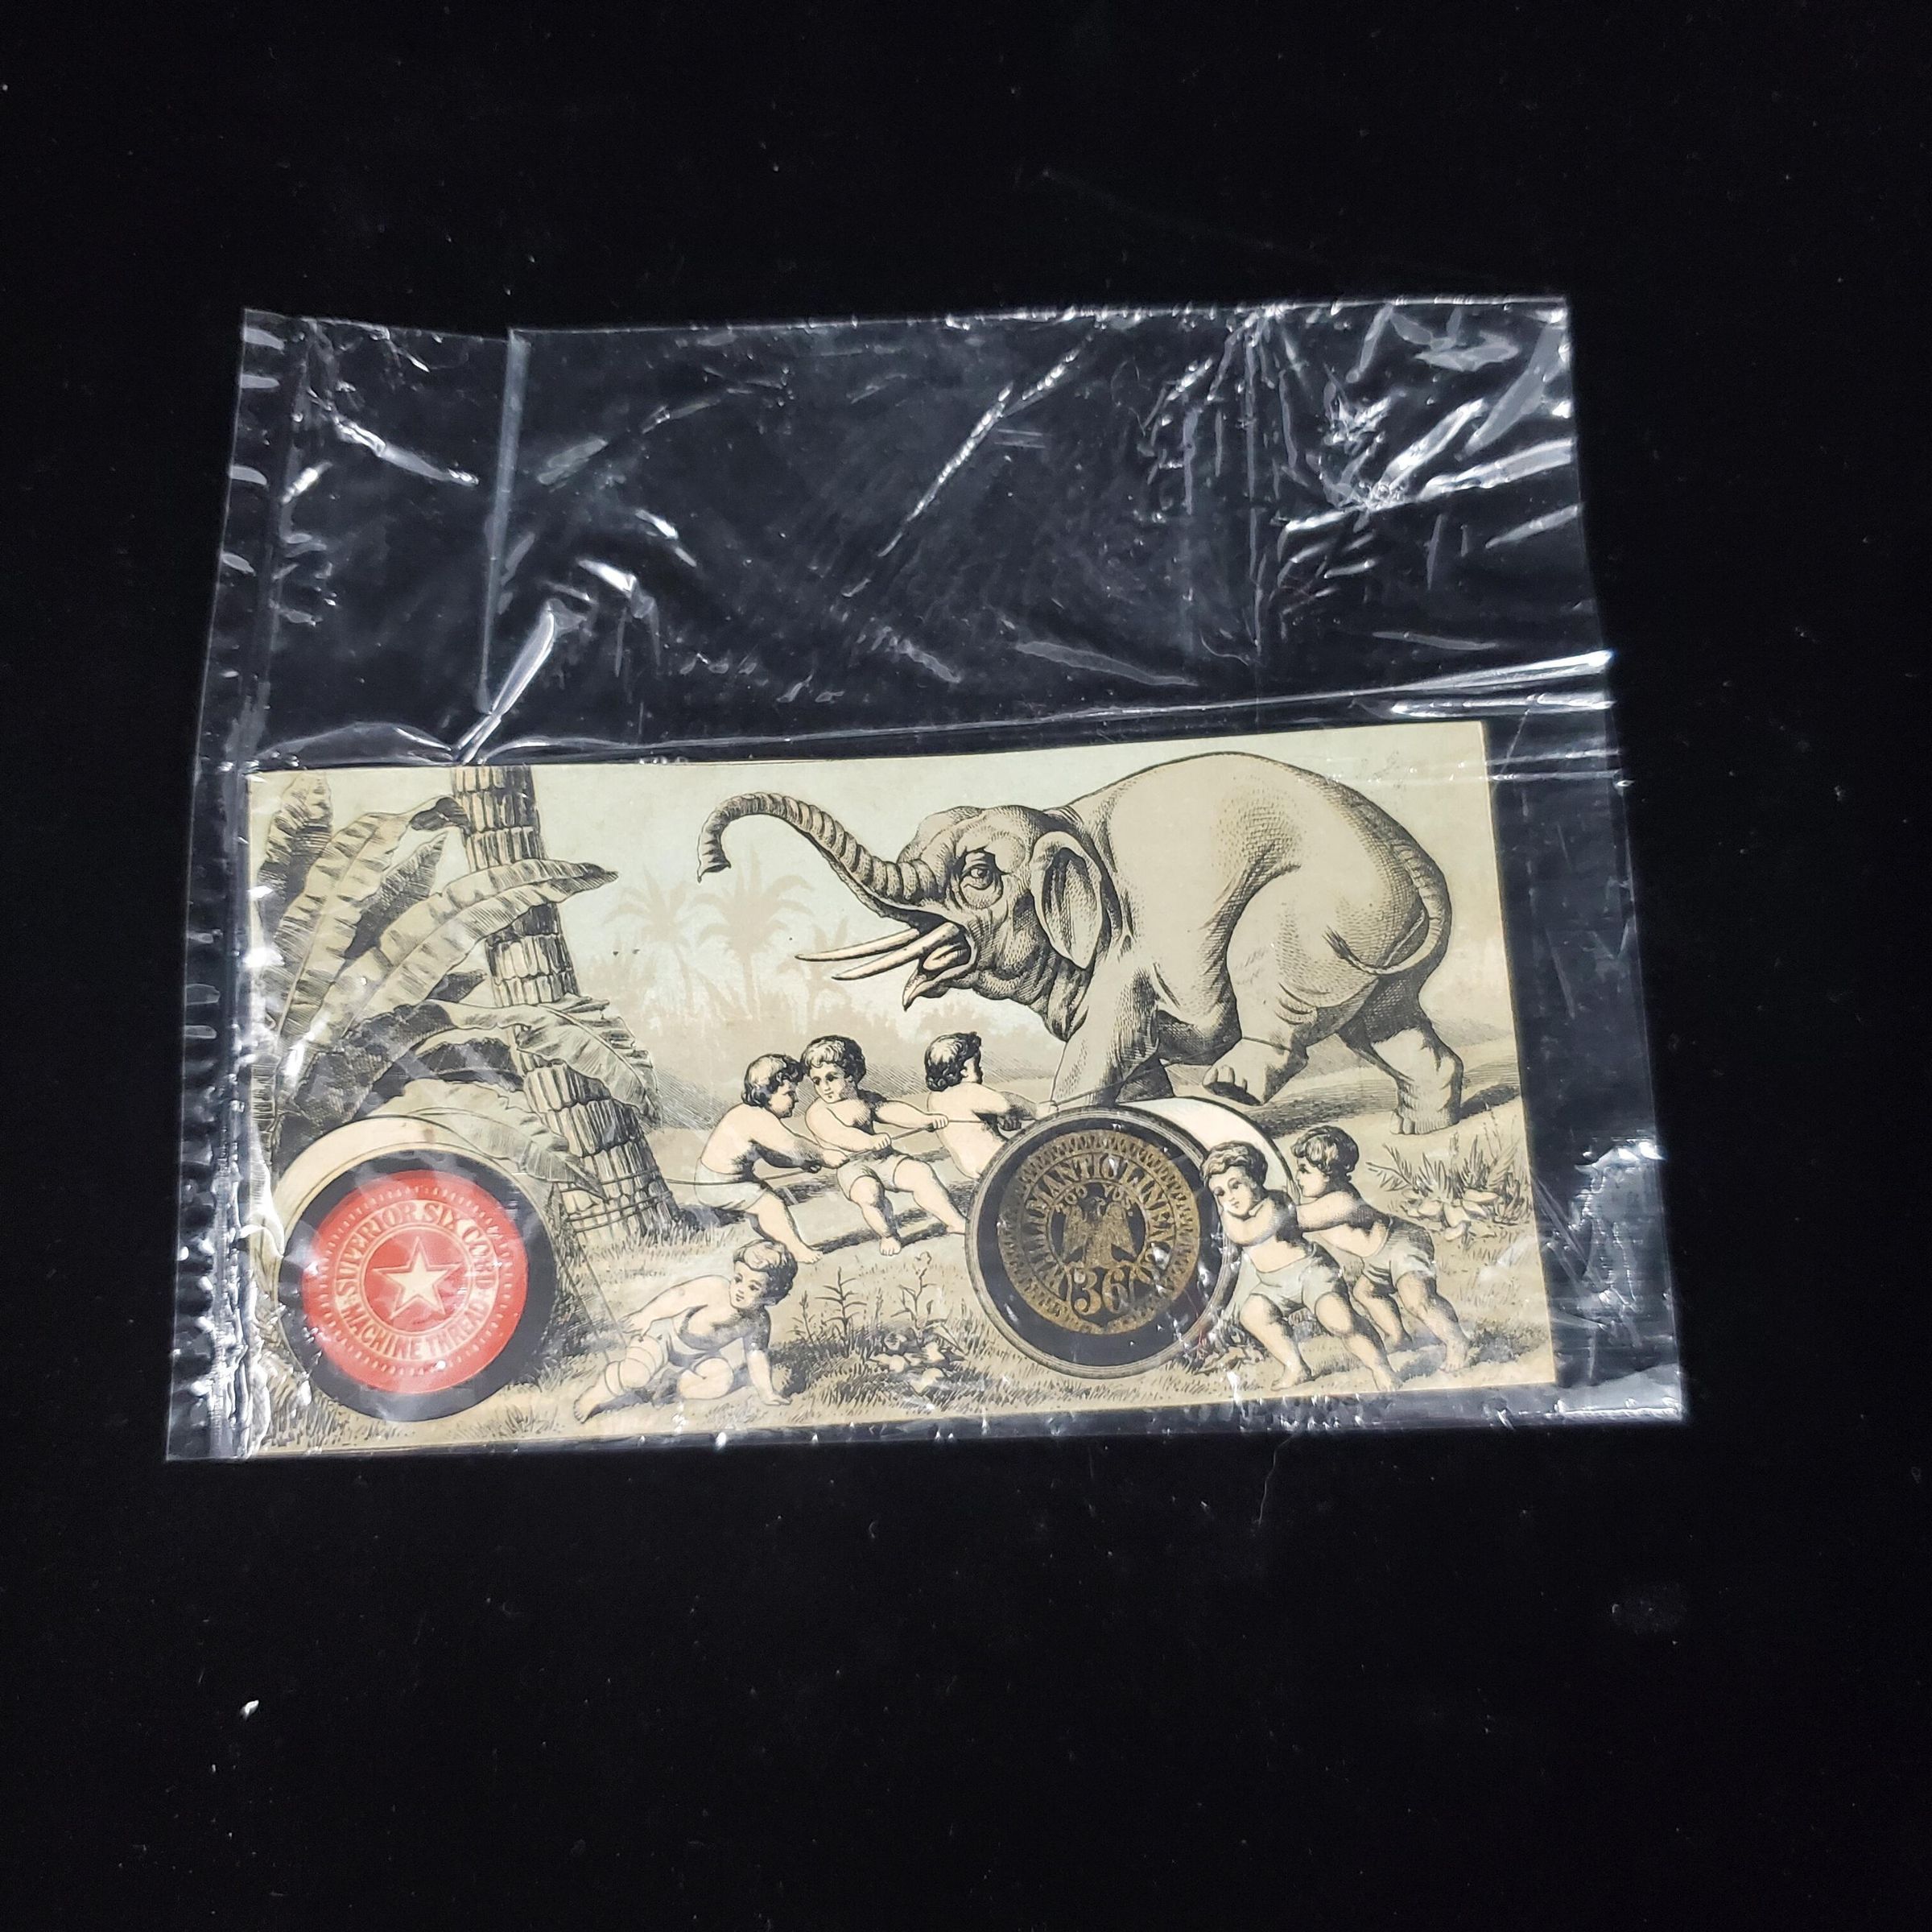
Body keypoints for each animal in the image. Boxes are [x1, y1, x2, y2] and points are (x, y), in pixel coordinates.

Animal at [696, 752, 1465, 1132]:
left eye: (978, 874)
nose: (713, 863)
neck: (1062, 821)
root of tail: (1420, 867)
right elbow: (1135, 1066)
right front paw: (1157, 1114)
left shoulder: (1127, 953)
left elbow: (1096, 1055)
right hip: (1378, 943)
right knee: (1388, 1026)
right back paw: (1423, 1129)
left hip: (1312, 912)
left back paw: (1233, 1087)